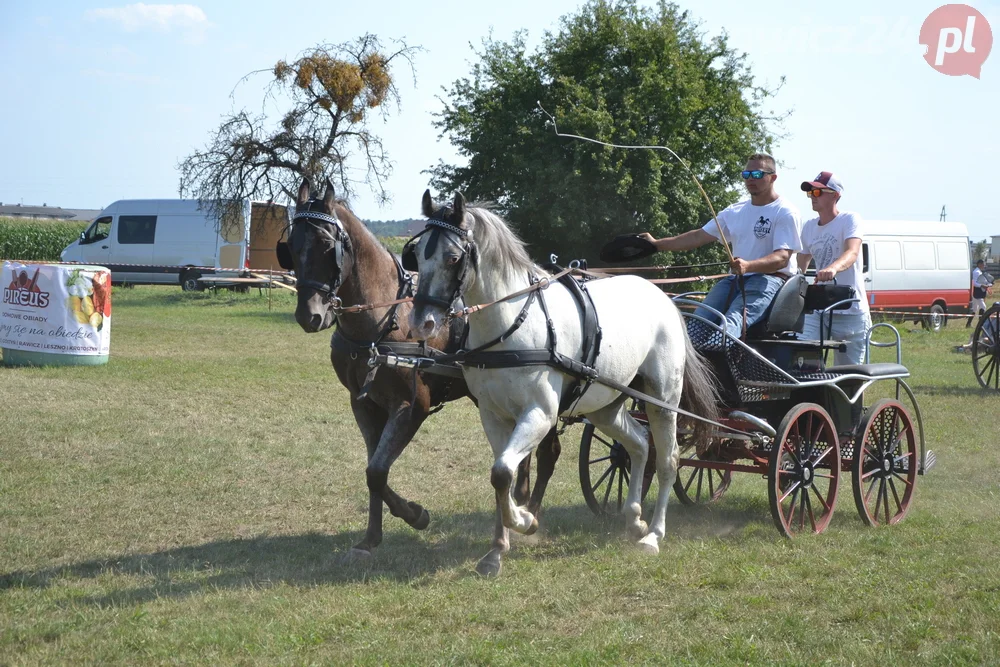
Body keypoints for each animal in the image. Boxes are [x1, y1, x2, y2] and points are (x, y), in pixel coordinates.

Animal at [406, 192, 720, 576]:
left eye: (453, 258)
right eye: (418, 255)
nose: (421, 322)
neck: (512, 324)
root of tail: (664, 299)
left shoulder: (540, 414)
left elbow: (503, 472)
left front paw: (525, 521)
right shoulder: (493, 416)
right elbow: (501, 474)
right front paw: (497, 549)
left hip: (662, 399)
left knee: (668, 460)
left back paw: (653, 535)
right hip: (606, 405)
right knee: (639, 445)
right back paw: (634, 519)